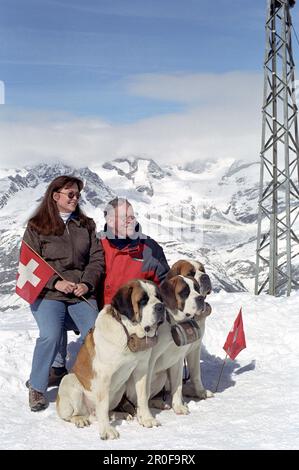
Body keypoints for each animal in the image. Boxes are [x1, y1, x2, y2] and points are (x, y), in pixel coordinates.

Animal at [55, 280, 165, 440]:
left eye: (158, 297)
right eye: (143, 300)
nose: (161, 306)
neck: (128, 334)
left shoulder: (142, 369)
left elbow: (143, 396)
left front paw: (147, 419)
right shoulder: (104, 377)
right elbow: (103, 404)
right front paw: (107, 430)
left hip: (120, 390)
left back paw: (122, 414)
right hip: (70, 381)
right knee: (73, 415)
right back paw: (80, 419)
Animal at [125, 276, 207, 414]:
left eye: (197, 288)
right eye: (184, 292)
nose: (200, 298)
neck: (172, 323)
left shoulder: (178, 360)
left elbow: (178, 386)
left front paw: (178, 406)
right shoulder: (150, 361)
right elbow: (145, 390)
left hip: (162, 376)